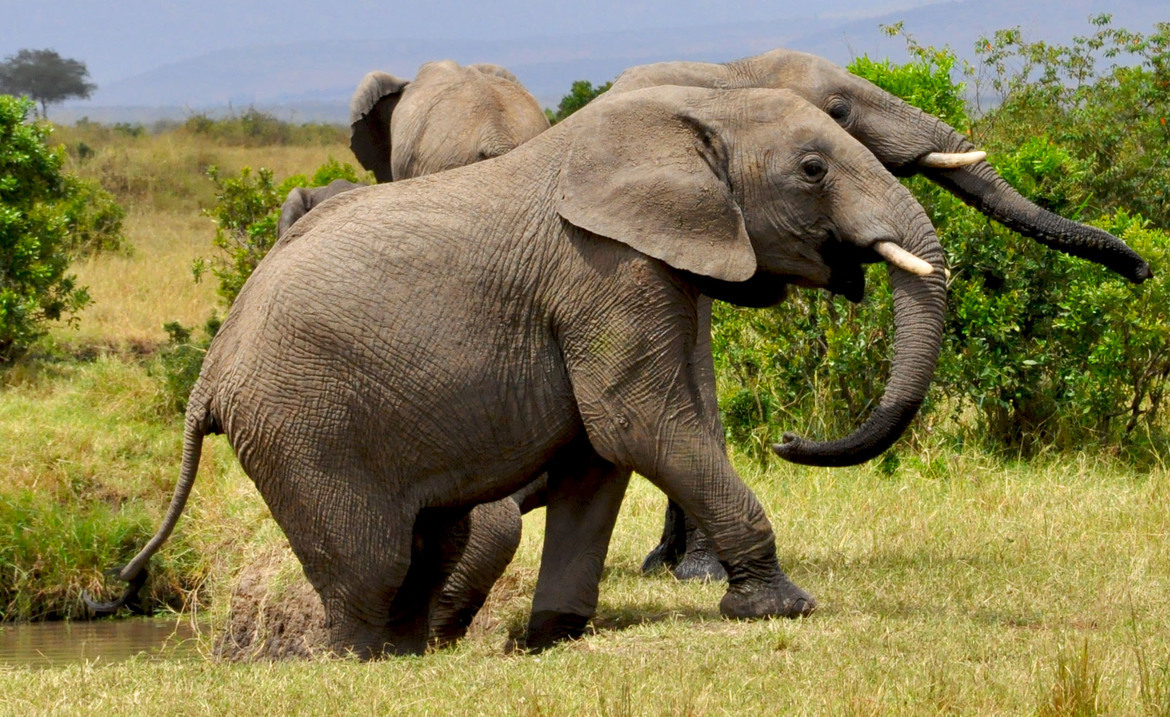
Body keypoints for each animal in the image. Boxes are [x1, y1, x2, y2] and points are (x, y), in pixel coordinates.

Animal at [90, 84, 952, 658]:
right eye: (813, 169)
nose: (790, 440)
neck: (686, 119)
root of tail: (210, 372)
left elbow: (599, 456)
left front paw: (551, 637)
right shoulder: (603, 269)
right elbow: (636, 425)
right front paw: (782, 608)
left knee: (433, 543)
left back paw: (411, 654)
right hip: (301, 424)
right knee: (372, 562)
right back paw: (362, 662)